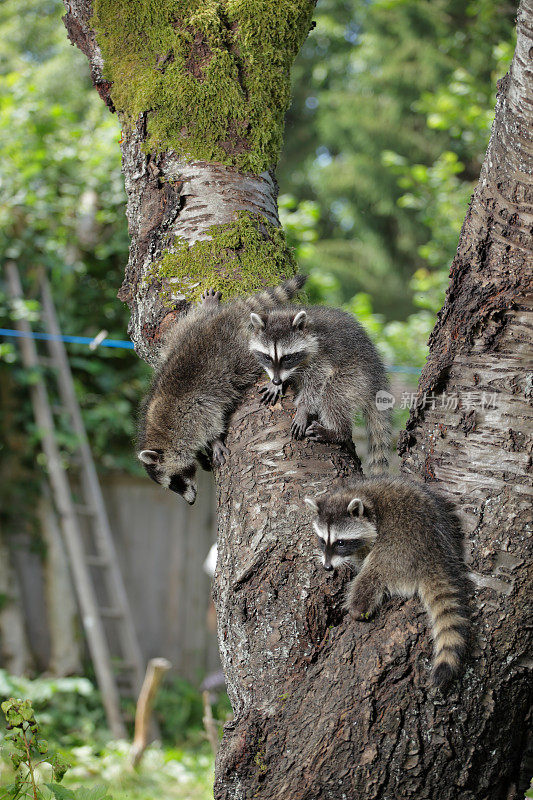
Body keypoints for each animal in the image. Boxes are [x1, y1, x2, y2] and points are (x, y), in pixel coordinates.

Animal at [135, 274, 306, 500]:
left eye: (175, 481)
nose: (191, 502)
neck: (163, 434)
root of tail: (219, 321)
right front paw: (202, 456)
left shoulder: (190, 412)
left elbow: (211, 421)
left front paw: (214, 441)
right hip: (185, 331)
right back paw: (208, 307)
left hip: (236, 353)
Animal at [249, 304, 390, 472]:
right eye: (267, 357)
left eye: (287, 357)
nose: (276, 381)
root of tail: (377, 378)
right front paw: (277, 384)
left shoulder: (322, 354)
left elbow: (317, 380)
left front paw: (303, 408)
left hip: (355, 374)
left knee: (332, 394)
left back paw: (339, 432)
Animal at [304, 476, 470, 688]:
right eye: (322, 540)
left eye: (340, 542)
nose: (327, 567)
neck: (361, 496)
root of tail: (433, 557)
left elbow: (365, 559)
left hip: (399, 549)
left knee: (373, 575)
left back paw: (358, 608)